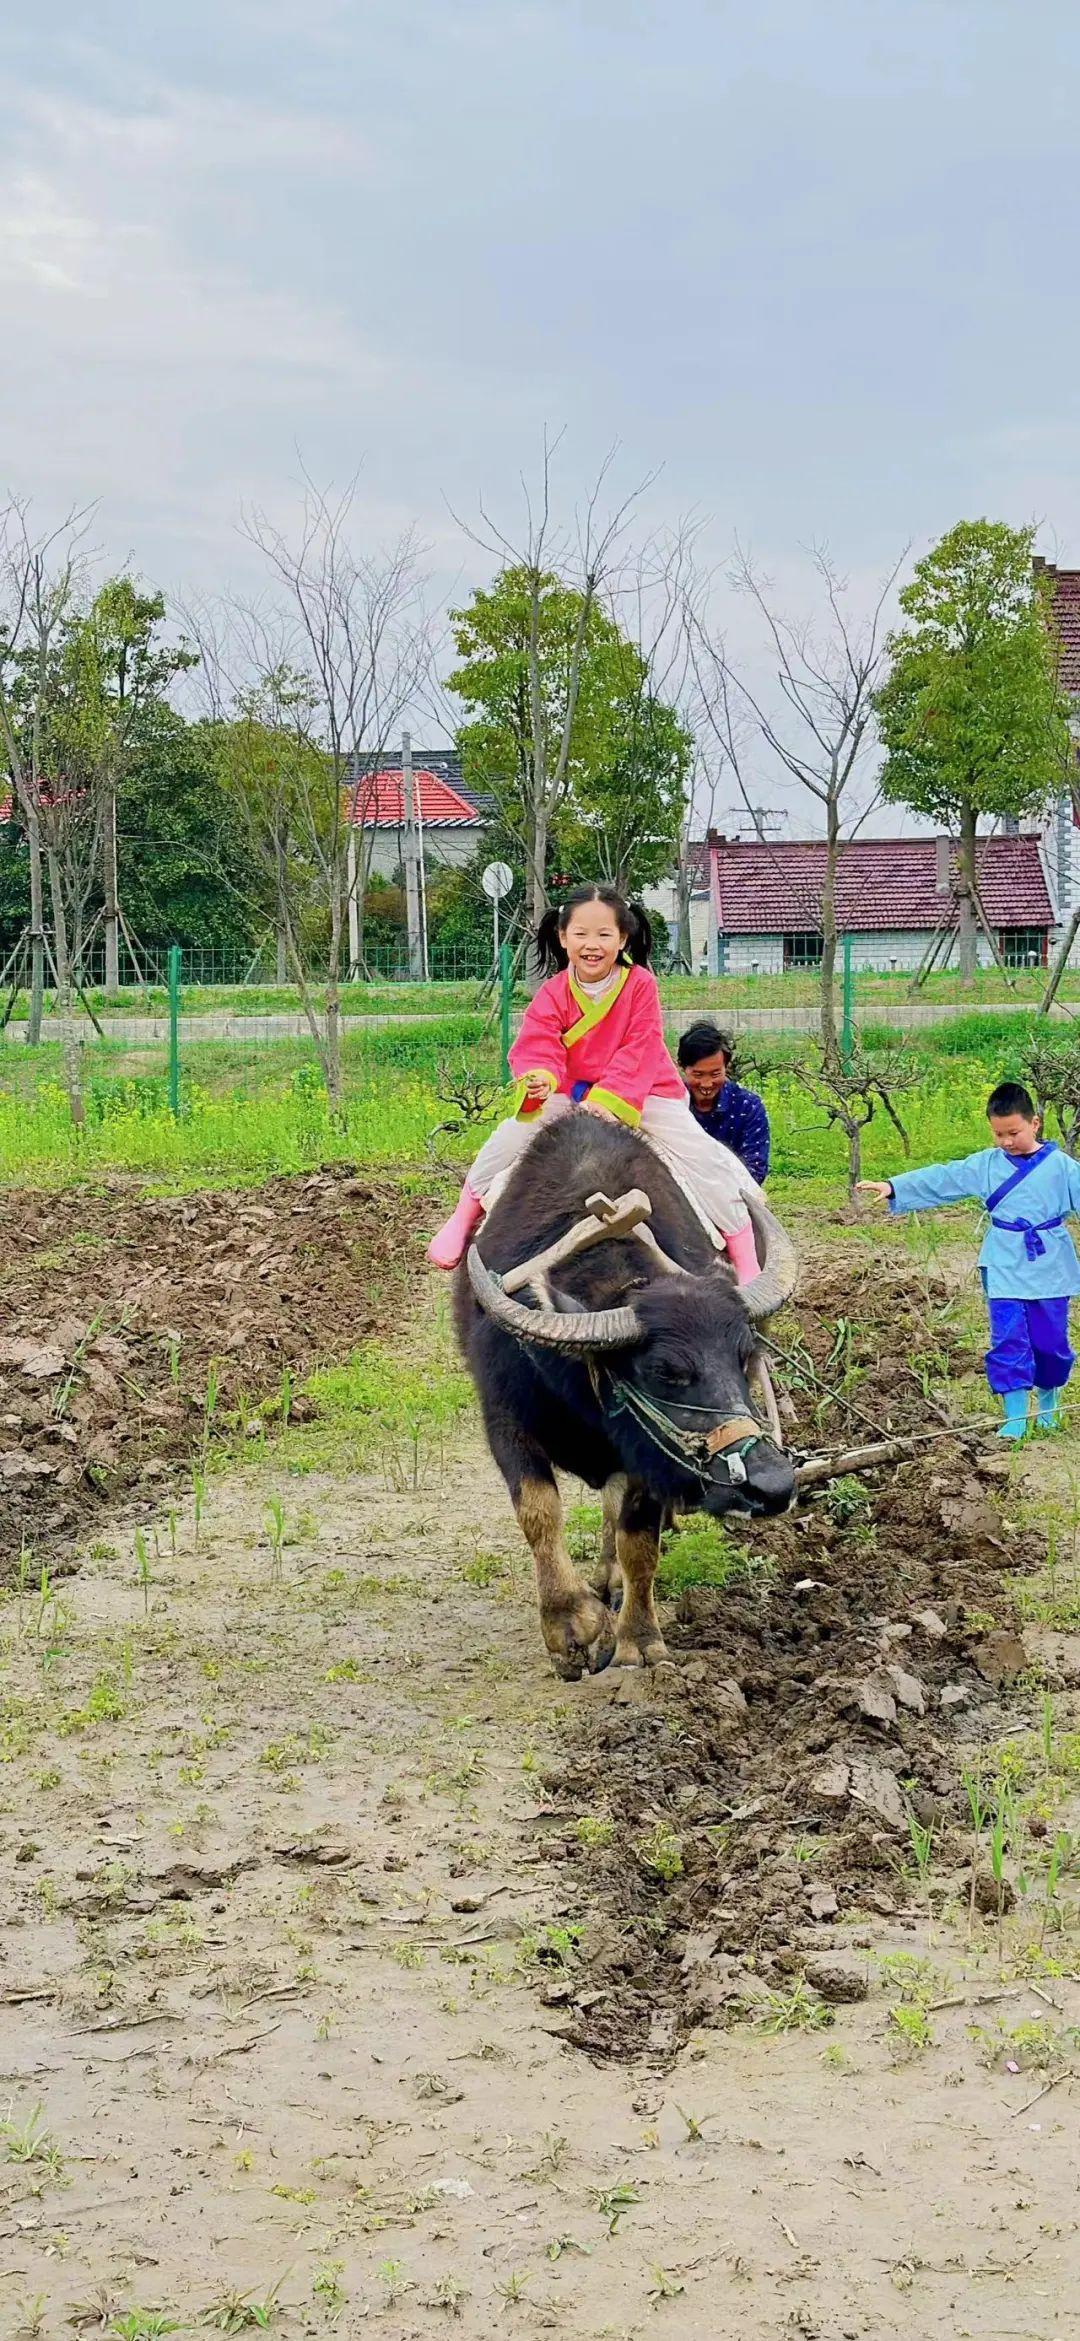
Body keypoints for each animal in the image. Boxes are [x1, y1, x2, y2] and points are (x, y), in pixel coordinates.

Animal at [449, 1114, 796, 1685]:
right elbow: (538, 1512)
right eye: (665, 1371)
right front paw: (571, 1627)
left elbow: (639, 1542)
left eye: (747, 1355)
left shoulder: (647, 1454)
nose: (773, 1485)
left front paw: (638, 1642)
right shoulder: (504, 1418)